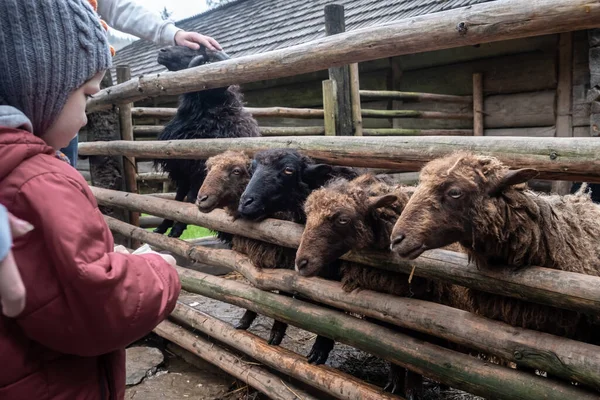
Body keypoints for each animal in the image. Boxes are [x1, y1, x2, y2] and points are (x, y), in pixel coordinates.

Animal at [154, 45, 258, 238]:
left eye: (194, 51)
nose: (162, 51)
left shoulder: (198, 172)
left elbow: (191, 198)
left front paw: (177, 229)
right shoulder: (184, 171)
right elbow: (178, 198)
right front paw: (163, 226)